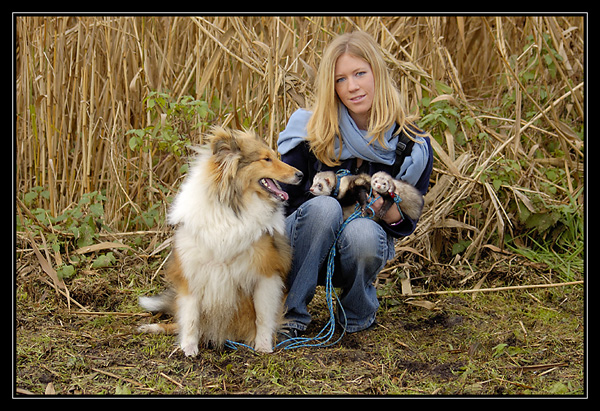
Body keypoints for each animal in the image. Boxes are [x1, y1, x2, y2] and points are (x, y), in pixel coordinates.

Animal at [138, 126, 302, 358]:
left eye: (276, 156)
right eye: (266, 159)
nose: (301, 175)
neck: (232, 207)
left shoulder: (266, 272)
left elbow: (263, 315)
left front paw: (263, 346)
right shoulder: (193, 270)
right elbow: (190, 318)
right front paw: (188, 348)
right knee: (179, 322)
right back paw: (152, 327)